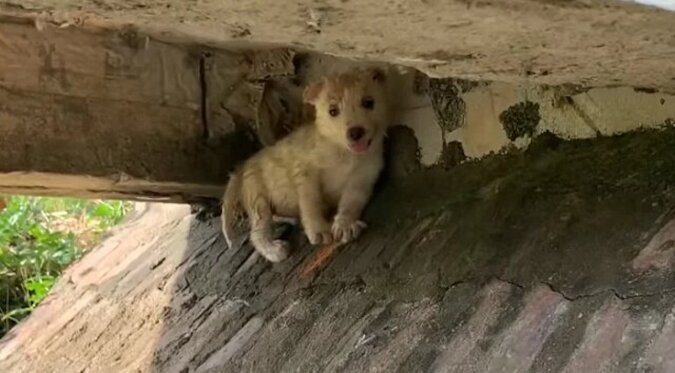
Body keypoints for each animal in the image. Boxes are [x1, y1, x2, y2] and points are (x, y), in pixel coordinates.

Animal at [222, 67, 388, 262]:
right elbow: (311, 204)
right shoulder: (305, 173)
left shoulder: (362, 180)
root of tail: (242, 167)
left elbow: (350, 204)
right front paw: (319, 230)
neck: (343, 152)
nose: (355, 133)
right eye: (333, 111)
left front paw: (345, 225)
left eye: (369, 102)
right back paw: (273, 250)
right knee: (257, 233)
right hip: (258, 201)